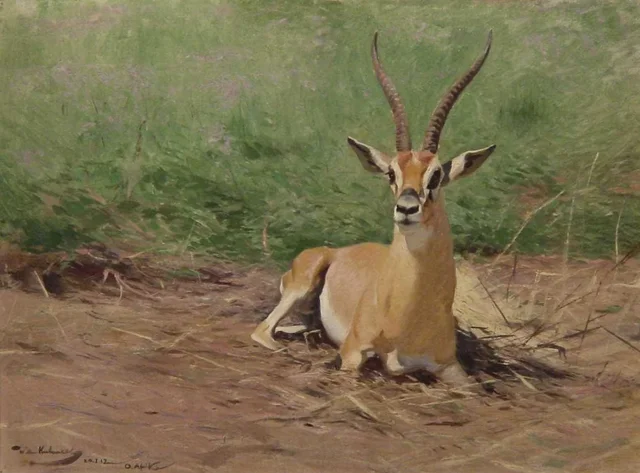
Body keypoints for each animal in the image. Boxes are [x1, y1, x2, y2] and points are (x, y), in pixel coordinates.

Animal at [251, 31, 497, 386]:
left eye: (436, 174)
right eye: (391, 173)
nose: (406, 208)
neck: (403, 317)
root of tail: (335, 251)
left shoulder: (451, 368)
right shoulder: (353, 353)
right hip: (300, 286)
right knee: (262, 331)